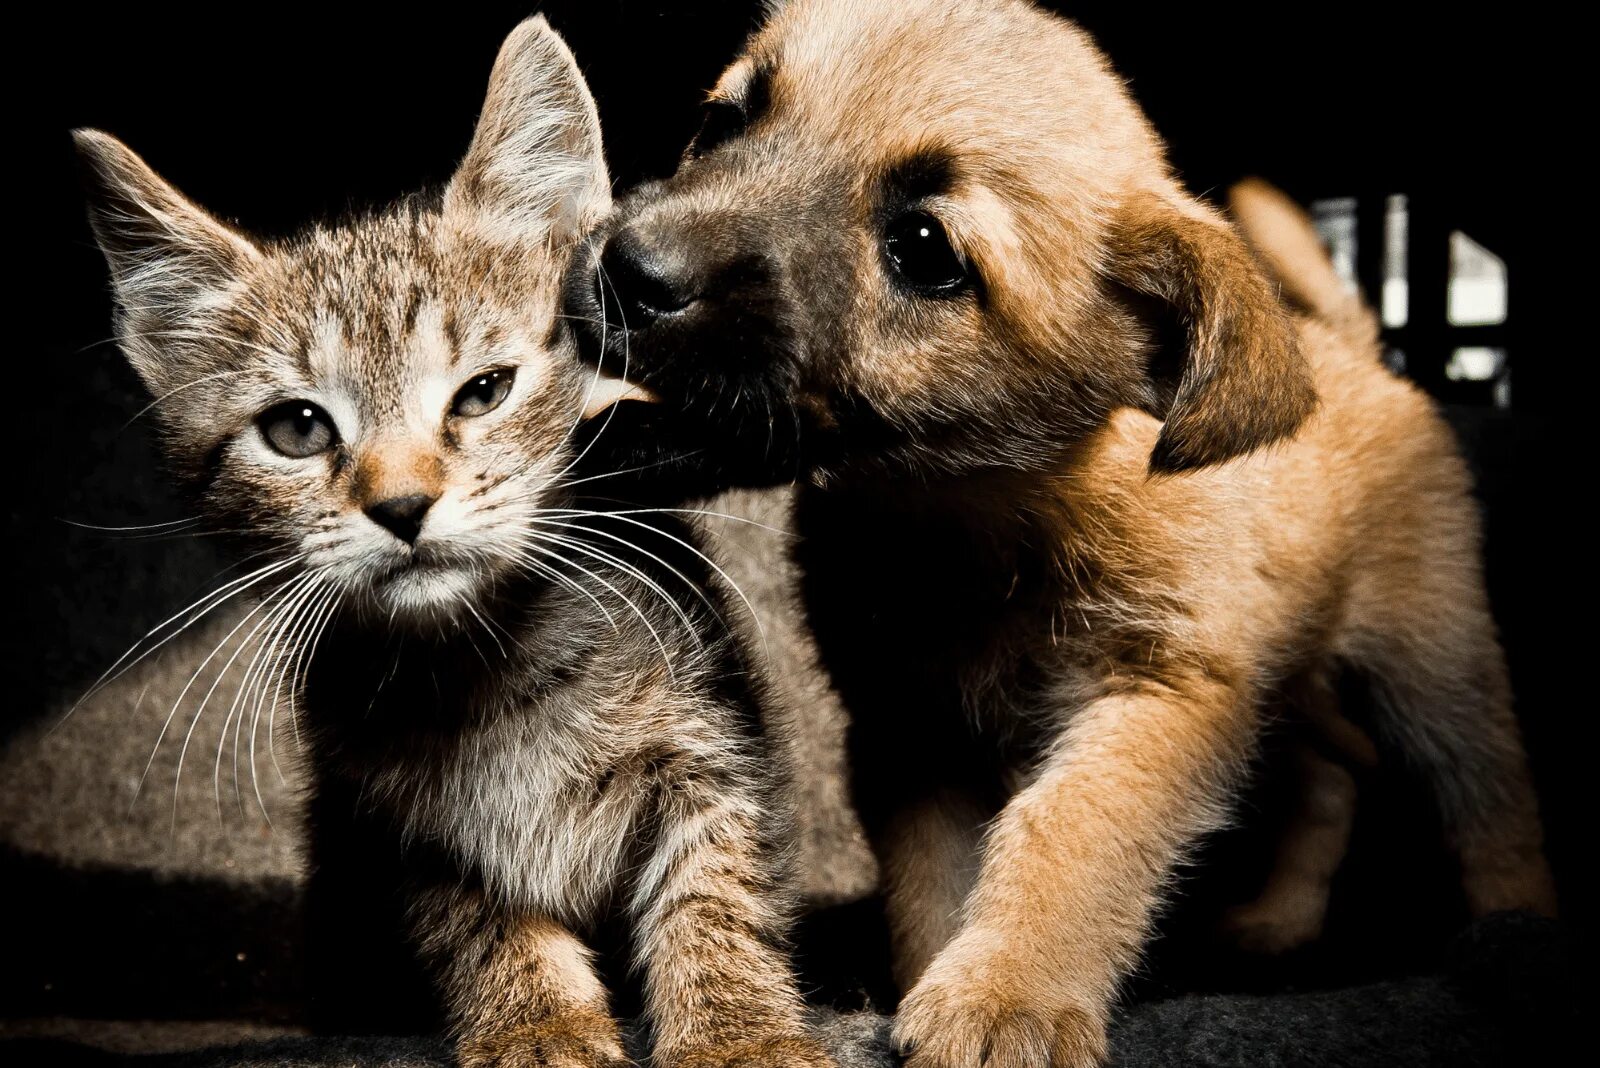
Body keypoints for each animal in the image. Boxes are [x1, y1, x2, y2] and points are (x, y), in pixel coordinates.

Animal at [72, 16, 838, 1068]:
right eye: (297, 429)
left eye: (484, 392)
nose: (401, 505)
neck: (492, 666)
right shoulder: (397, 825)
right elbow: (479, 920)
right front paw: (539, 1023)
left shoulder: (711, 743)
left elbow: (715, 887)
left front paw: (738, 1031)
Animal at [569, 4, 1555, 1061]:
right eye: (725, 120)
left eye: (924, 247)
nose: (627, 272)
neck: (981, 519)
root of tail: (1357, 356)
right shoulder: (916, 731)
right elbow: (932, 884)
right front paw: (946, 980)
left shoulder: (1158, 697)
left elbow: (1070, 833)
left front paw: (1014, 995)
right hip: (1283, 677)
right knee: (1325, 776)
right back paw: (1276, 924)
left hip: (1433, 667)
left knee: (1491, 803)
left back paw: (1515, 936)